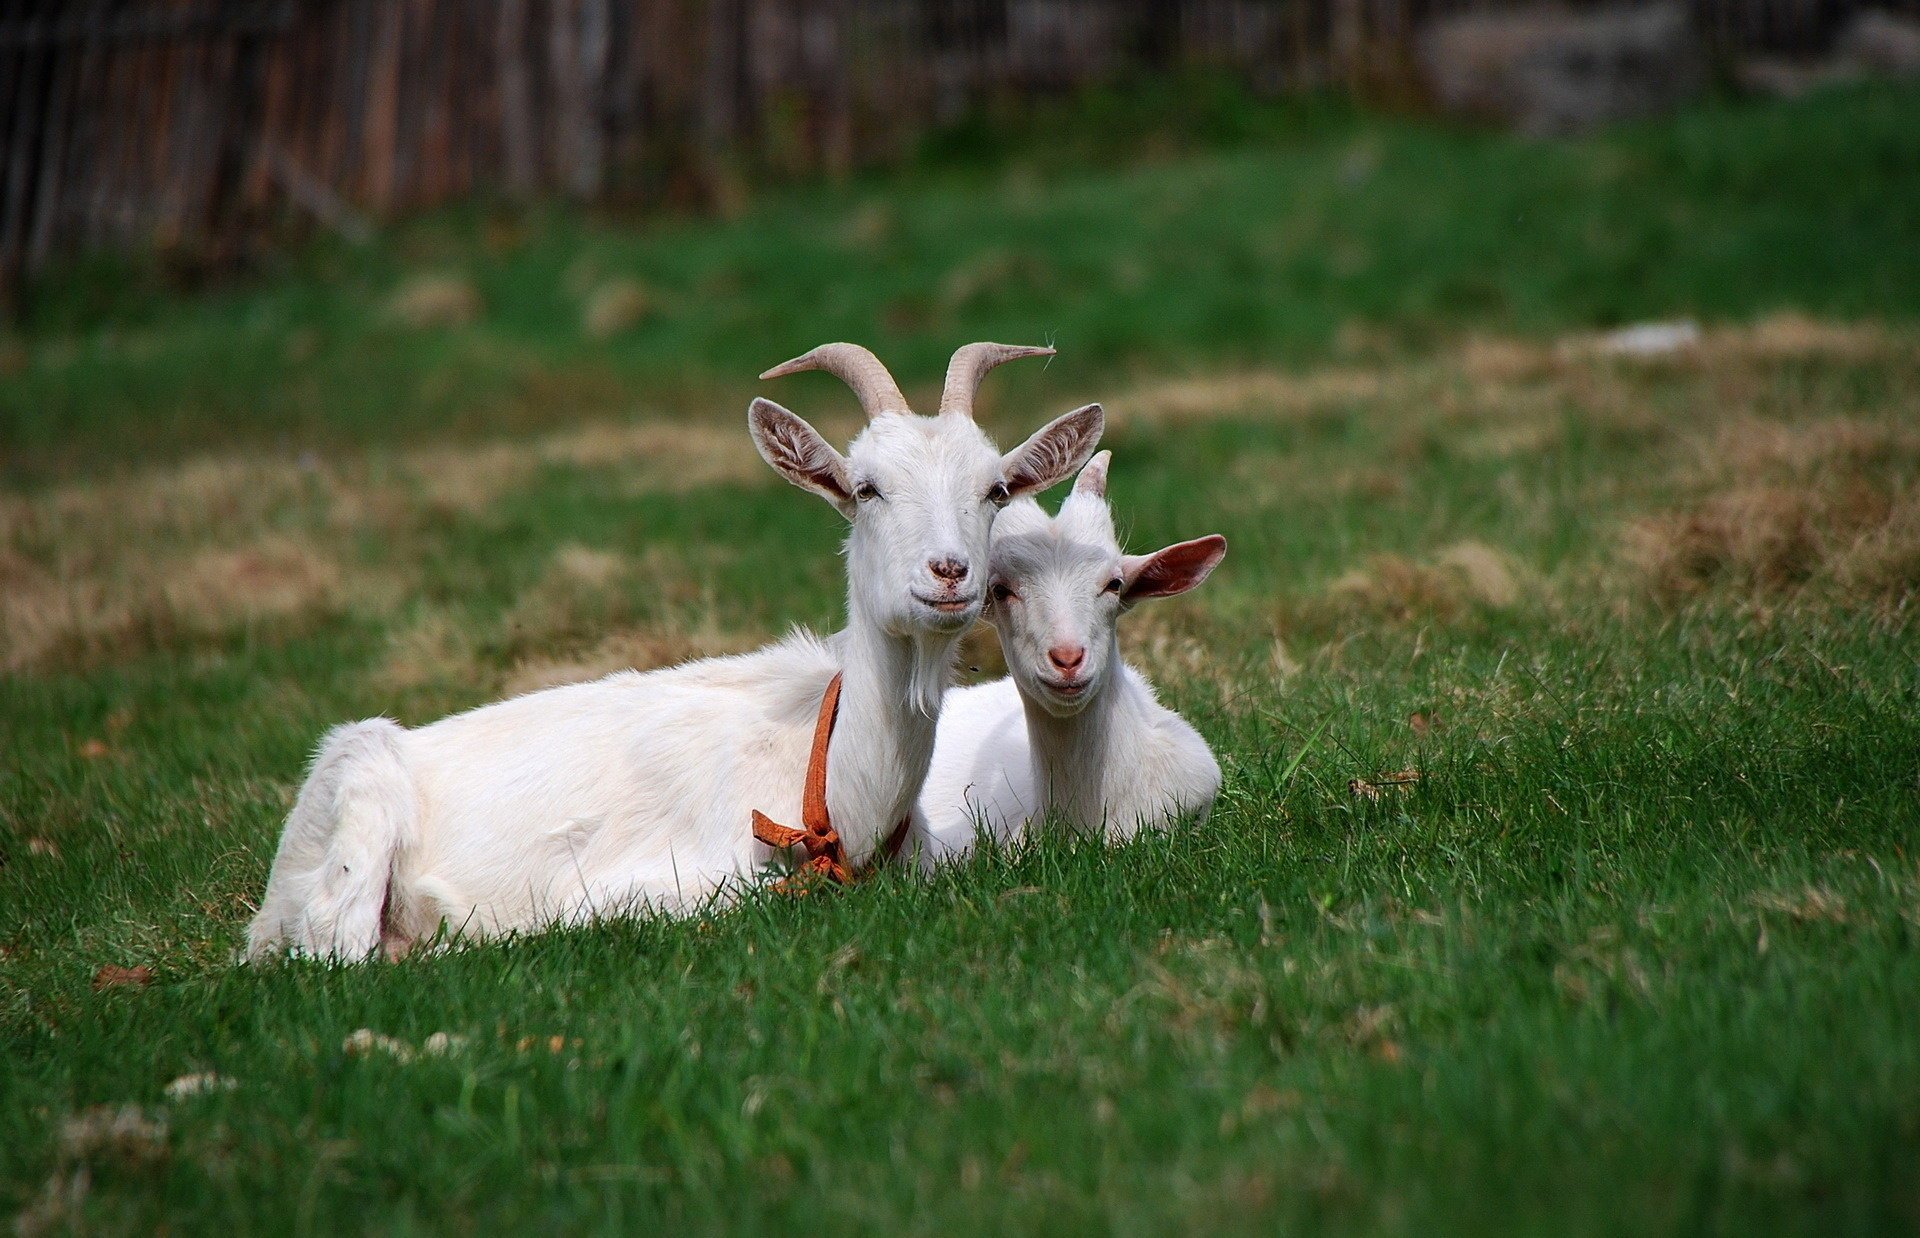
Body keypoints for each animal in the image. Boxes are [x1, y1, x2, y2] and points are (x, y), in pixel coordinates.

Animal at [246, 342, 1103, 959]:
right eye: (866, 488)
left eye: (995, 490)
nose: (950, 572)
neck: (829, 778)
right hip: (361, 815)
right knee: (337, 947)